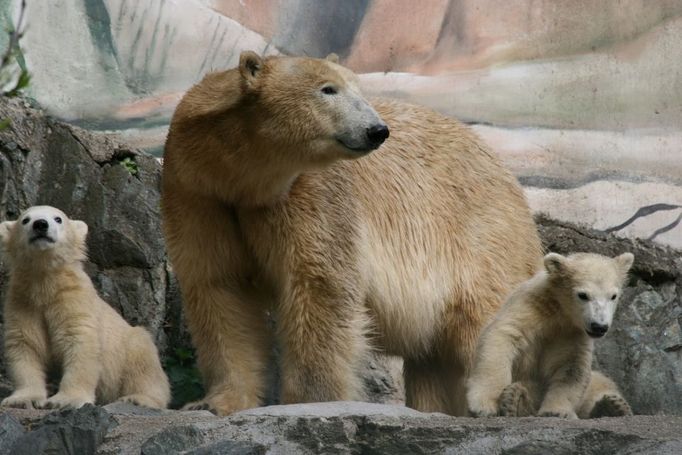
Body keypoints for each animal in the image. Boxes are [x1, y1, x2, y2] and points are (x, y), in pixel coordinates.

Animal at [161, 50, 540, 416]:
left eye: (359, 89)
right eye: (328, 89)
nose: (377, 130)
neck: (241, 178)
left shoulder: (311, 191)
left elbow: (320, 286)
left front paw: (309, 400)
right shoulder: (199, 193)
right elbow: (221, 288)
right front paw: (214, 401)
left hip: (480, 234)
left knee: (486, 316)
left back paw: (514, 399)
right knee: (433, 359)